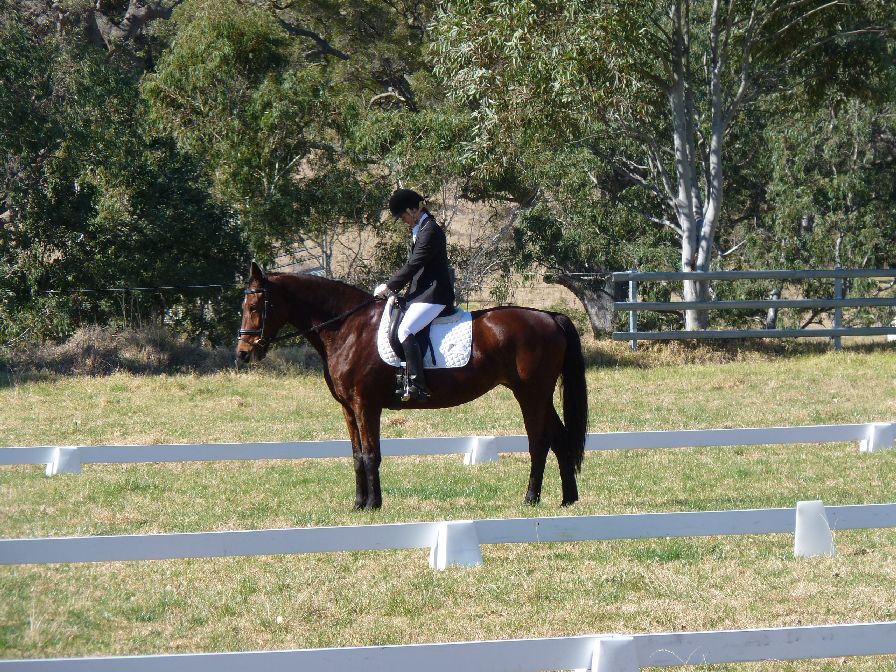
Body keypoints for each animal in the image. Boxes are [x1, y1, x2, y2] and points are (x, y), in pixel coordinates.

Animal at [236, 262, 588, 510]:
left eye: (254, 307)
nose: (243, 354)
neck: (347, 328)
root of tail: (550, 317)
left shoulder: (366, 404)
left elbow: (371, 454)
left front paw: (373, 505)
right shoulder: (349, 408)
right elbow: (356, 455)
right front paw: (358, 504)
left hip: (530, 393)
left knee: (539, 442)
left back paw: (531, 498)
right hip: (539, 395)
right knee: (560, 439)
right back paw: (568, 499)